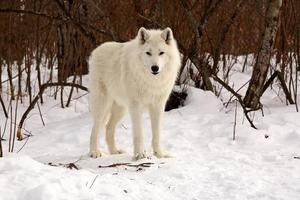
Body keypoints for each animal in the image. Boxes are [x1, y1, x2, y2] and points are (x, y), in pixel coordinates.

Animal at [88, 27, 179, 160]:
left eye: (161, 53)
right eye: (148, 53)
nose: (155, 68)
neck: (151, 81)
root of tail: (96, 50)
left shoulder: (157, 106)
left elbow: (157, 133)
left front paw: (159, 154)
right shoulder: (136, 106)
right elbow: (138, 133)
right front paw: (140, 154)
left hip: (121, 108)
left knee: (108, 127)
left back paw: (114, 151)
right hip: (103, 105)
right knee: (95, 128)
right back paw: (94, 152)